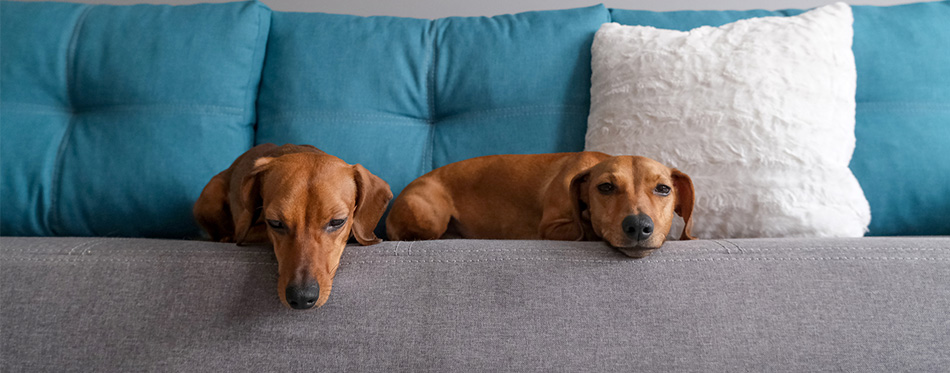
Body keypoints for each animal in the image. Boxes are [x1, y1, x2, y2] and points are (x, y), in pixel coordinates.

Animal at [386, 151, 700, 256]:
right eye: (606, 187)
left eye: (663, 189)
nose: (638, 226)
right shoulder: (551, 228)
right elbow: (586, 230)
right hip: (430, 219)